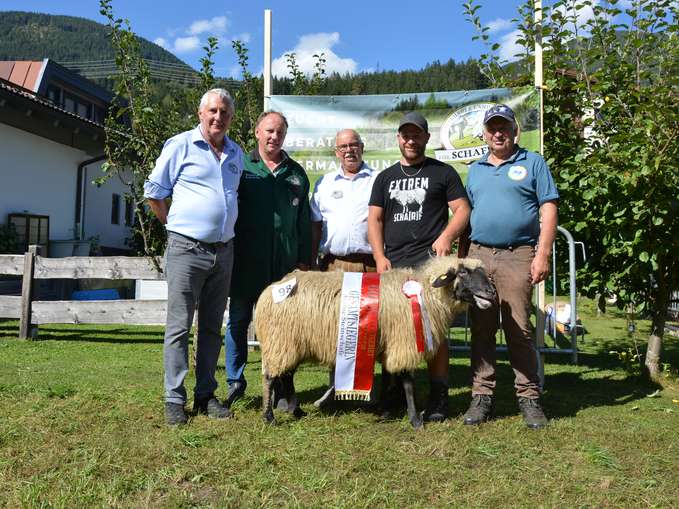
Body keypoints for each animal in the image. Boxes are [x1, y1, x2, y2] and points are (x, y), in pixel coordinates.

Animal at [254, 256, 494, 426]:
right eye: (463, 272)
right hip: (280, 340)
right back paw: (269, 418)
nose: (491, 292)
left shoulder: (389, 344)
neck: (425, 294)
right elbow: (407, 382)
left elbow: (389, 378)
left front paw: (385, 410)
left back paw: (297, 411)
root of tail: (271, 289)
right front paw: (415, 420)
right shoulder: (404, 341)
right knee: (270, 377)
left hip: (291, 343)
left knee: (286, 376)